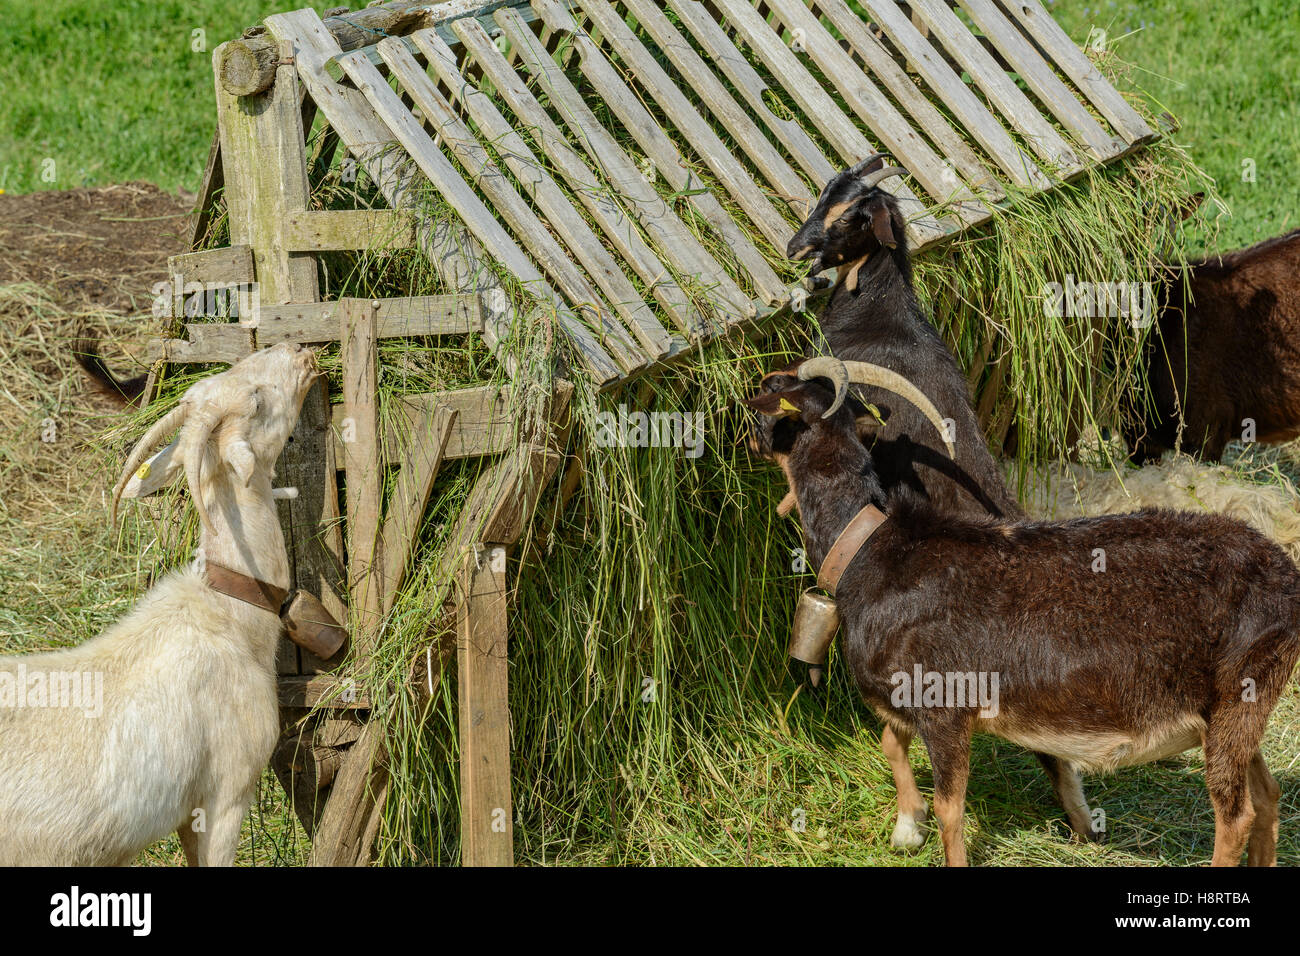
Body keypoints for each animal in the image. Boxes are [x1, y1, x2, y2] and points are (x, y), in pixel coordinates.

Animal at [746, 357, 1300, 866]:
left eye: (772, 391)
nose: (744, 426)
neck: (869, 550)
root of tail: (1285, 577)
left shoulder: (946, 704)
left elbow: (951, 807)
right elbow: (889, 742)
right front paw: (907, 825)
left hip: (1239, 693)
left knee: (1236, 814)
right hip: (1233, 710)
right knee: (1267, 794)